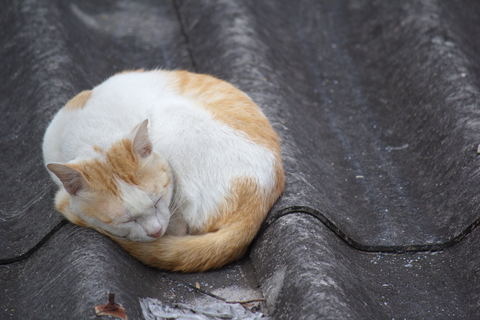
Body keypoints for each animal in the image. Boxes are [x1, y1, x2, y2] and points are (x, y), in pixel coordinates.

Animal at [43, 70, 284, 272]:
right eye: (126, 220)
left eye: (158, 200)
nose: (155, 232)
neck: (93, 135)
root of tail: (258, 204)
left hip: (171, 112)